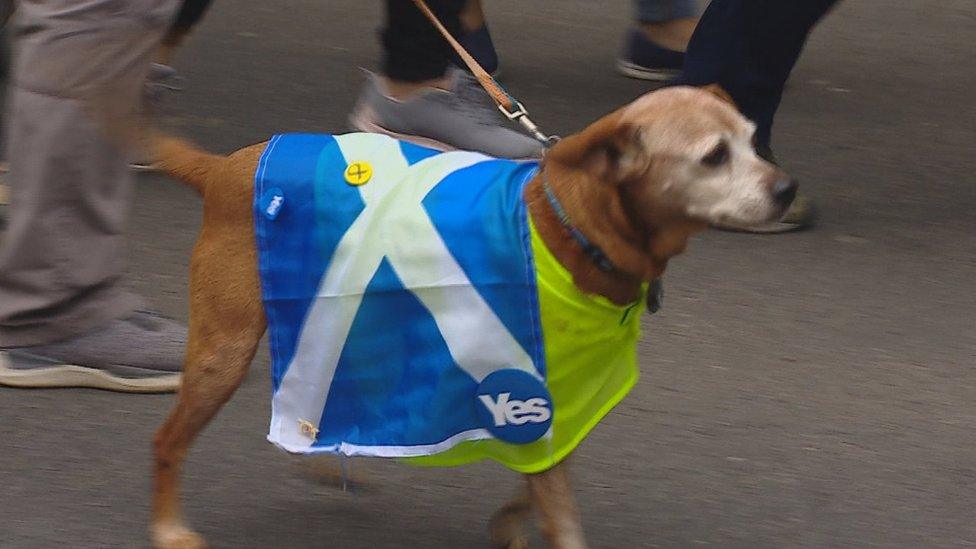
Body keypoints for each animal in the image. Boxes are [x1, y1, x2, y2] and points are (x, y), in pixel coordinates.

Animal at [149, 86, 796, 548]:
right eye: (714, 156)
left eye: (753, 139)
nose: (787, 189)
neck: (574, 228)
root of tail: (223, 167)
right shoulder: (530, 398)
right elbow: (561, 514)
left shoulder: (557, 408)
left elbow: (540, 484)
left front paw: (508, 524)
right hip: (225, 349)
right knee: (168, 440)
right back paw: (169, 527)